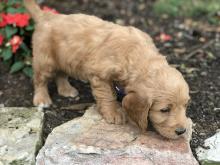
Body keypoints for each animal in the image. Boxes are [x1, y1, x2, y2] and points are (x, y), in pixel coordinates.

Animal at [23, 0, 190, 139]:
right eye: (164, 110)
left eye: (186, 105)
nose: (182, 131)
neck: (137, 55)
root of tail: (46, 16)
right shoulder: (100, 74)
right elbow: (108, 95)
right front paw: (114, 112)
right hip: (45, 60)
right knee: (39, 79)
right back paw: (42, 99)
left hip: (64, 58)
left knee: (61, 74)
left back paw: (66, 90)